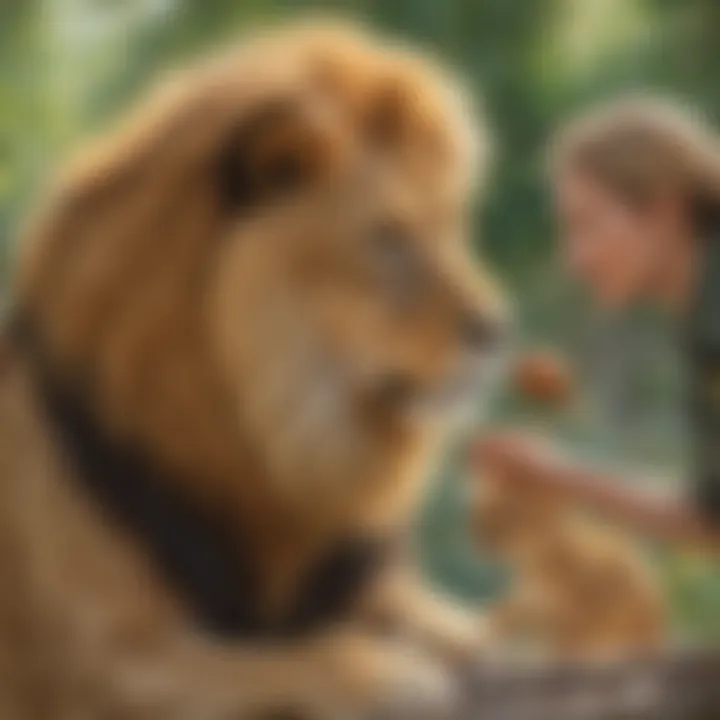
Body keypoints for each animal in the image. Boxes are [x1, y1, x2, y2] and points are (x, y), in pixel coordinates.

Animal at [0, 19, 510, 720]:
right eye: (387, 240)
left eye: (452, 229)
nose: (498, 331)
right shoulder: (102, 659)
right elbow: (281, 657)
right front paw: (386, 673)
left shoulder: (365, 581)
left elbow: (469, 629)